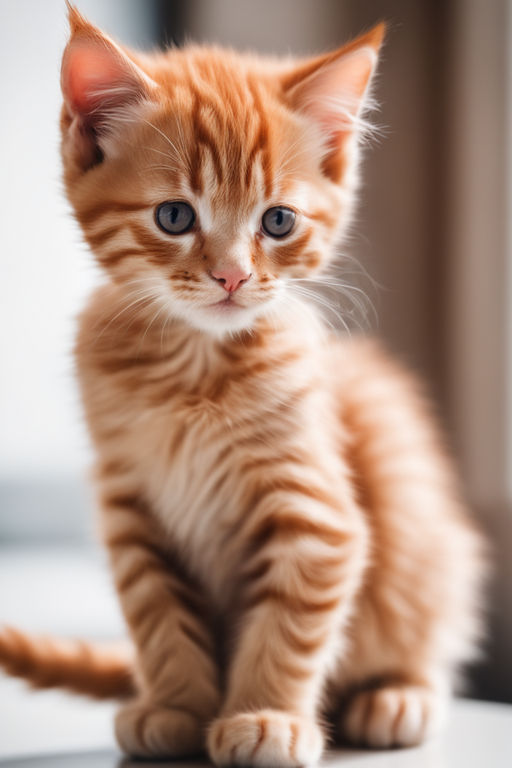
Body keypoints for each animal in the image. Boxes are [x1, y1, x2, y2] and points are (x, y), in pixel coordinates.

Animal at [0, 7, 488, 768]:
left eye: (277, 221)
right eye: (175, 216)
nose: (231, 276)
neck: (193, 369)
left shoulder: (317, 514)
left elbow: (289, 627)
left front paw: (266, 717)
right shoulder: (131, 509)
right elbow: (159, 619)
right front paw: (176, 707)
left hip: (419, 523)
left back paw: (396, 695)